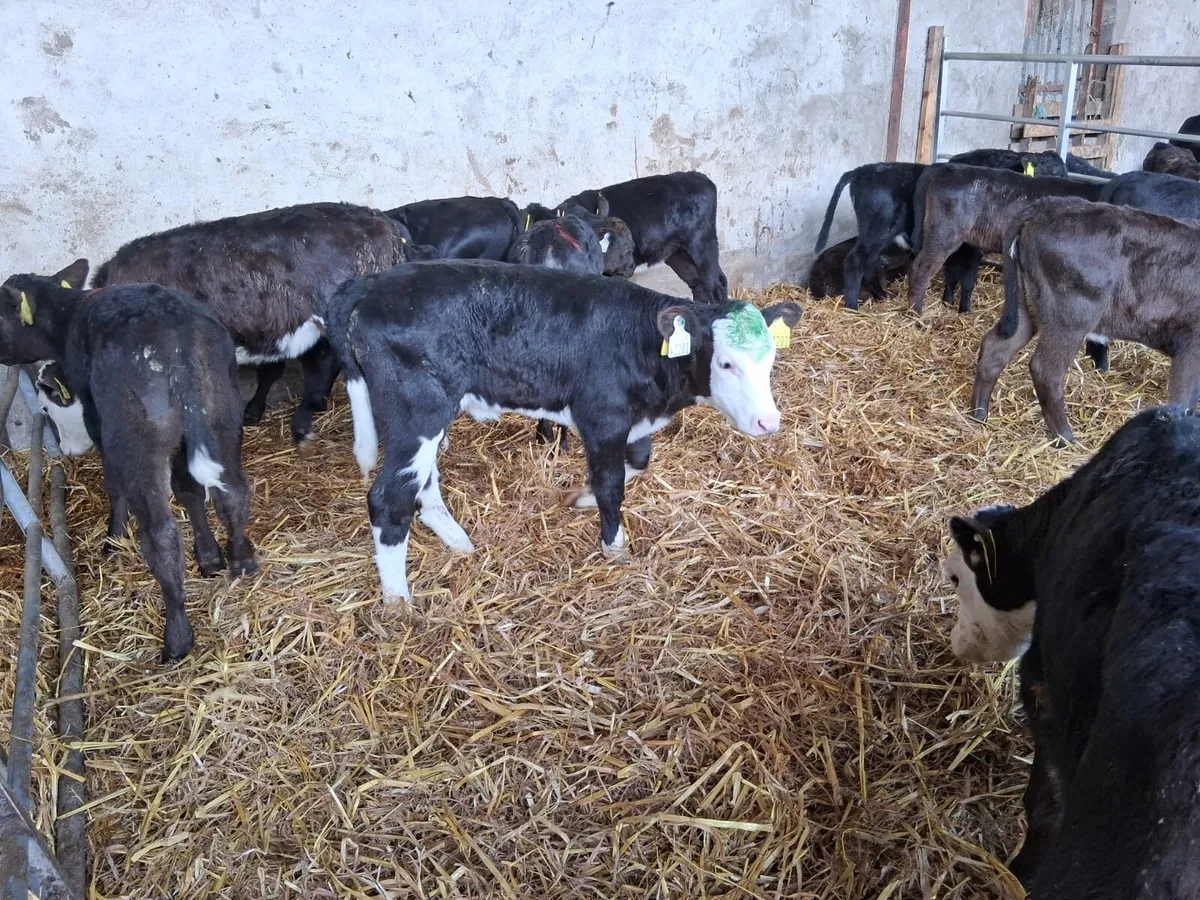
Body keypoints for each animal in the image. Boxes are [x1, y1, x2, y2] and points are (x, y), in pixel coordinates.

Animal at [0, 260, 256, 662]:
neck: (71, 314)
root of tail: (178, 339)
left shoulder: (95, 417)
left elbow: (114, 482)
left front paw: (113, 539)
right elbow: (188, 491)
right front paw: (209, 557)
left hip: (136, 437)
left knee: (161, 533)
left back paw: (176, 639)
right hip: (223, 416)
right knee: (232, 493)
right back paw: (241, 560)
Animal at [326, 259, 801, 606]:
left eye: (771, 358)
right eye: (726, 363)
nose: (768, 422)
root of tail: (368, 285)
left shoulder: (631, 421)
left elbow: (637, 462)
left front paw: (581, 499)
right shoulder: (602, 417)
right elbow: (611, 484)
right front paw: (614, 548)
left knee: (422, 483)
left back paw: (456, 541)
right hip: (418, 411)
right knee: (389, 498)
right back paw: (398, 601)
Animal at [556, 171, 728, 304]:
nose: (630, 266)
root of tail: (699, 176)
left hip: (702, 244)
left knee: (716, 285)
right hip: (679, 253)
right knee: (701, 285)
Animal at [970, 197, 1200, 443]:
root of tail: (1042, 208)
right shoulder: (1190, 345)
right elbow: (1183, 400)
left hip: (1025, 305)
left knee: (995, 349)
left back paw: (979, 414)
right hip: (1071, 317)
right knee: (1046, 370)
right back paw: (1065, 437)